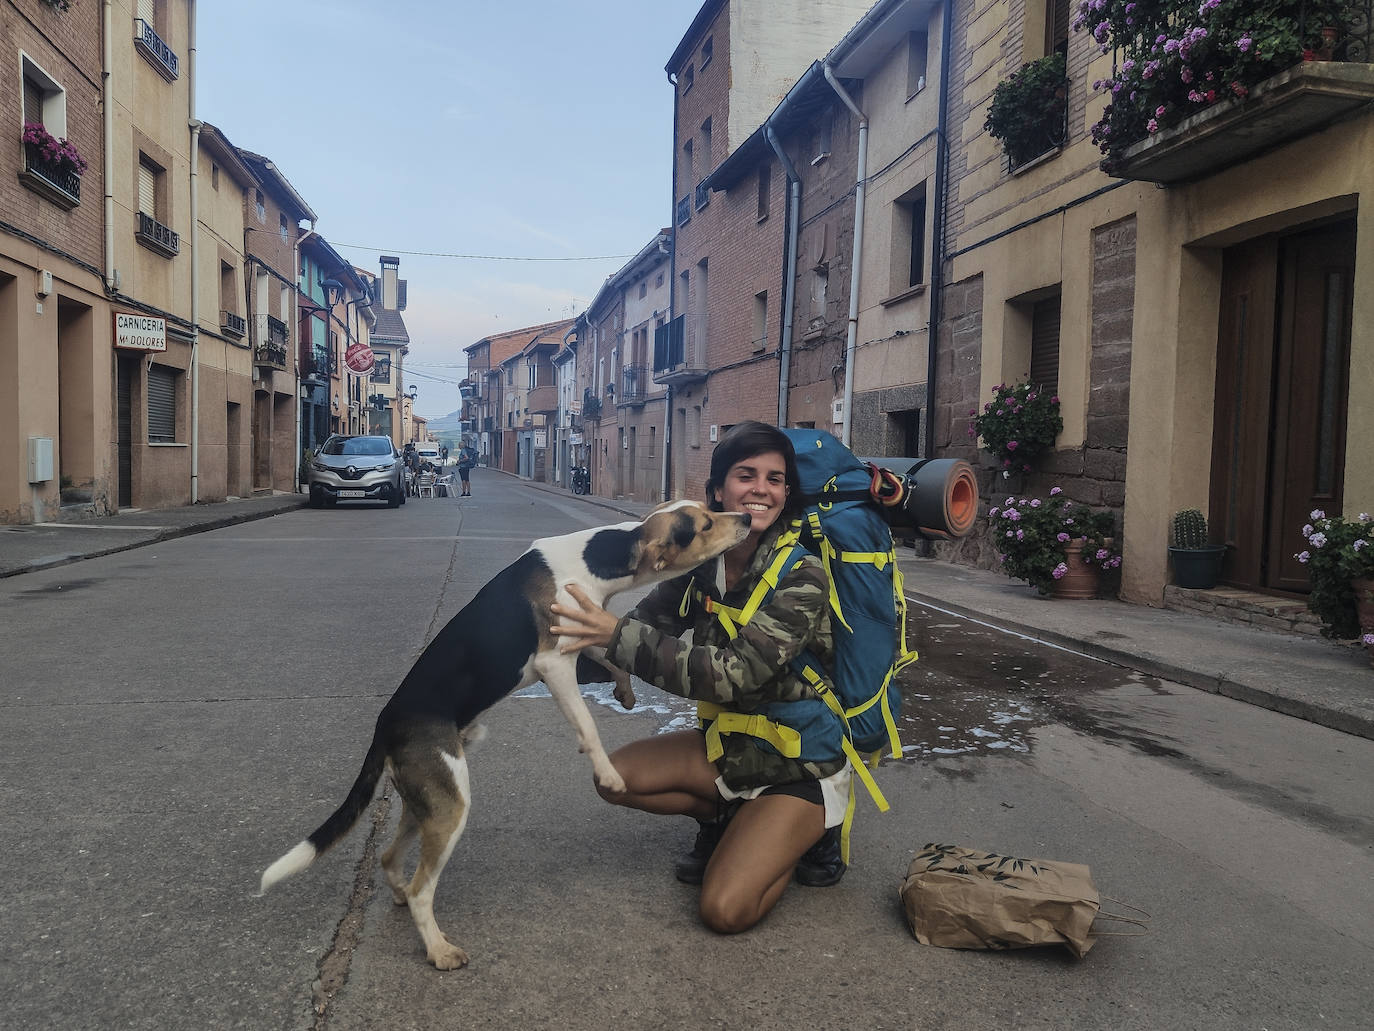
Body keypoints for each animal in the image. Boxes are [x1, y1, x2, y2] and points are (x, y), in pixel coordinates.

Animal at [259, 505, 752, 973]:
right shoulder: (554, 664)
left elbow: (614, 656)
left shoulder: (580, 639)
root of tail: (384, 724)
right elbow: (587, 725)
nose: (747, 517)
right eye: (706, 524)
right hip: (450, 806)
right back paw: (439, 950)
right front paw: (608, 773)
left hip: (430, 800)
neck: (598, 557)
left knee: (387, 858)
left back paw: (400, 895)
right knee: (422, 890)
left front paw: (626, 692)